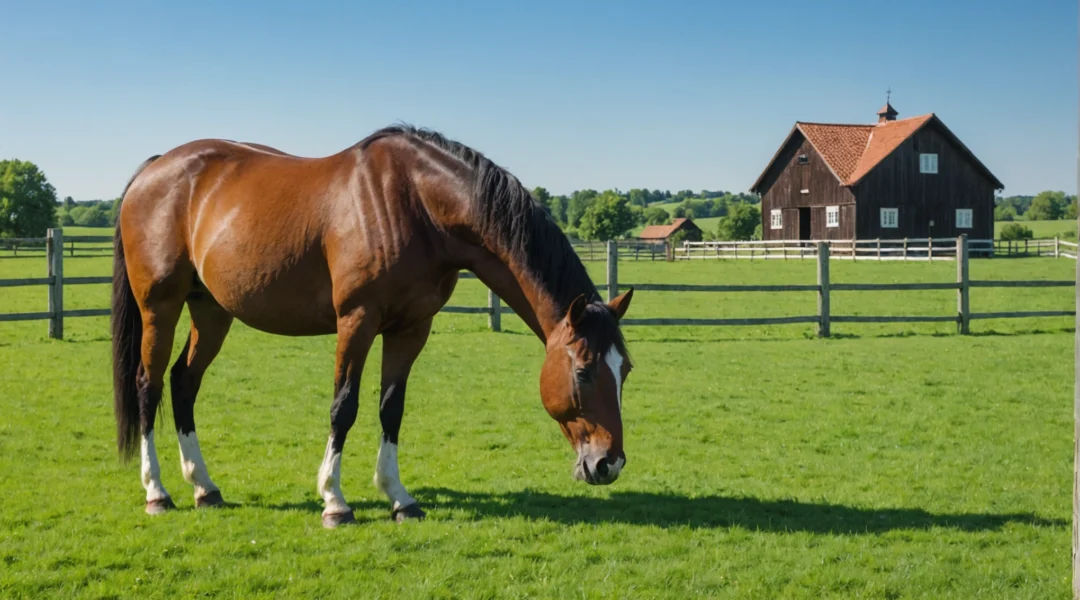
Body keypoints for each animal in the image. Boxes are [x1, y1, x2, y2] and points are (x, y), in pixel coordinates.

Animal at [111, 125, 635, 527]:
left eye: (624, 370)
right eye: (584, 371)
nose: (609, 463)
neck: (417, 204)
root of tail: (155, 169)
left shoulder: (410, 328)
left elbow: (391, 409)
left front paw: (399, 497)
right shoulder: (357, 321)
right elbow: (344, 406)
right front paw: (334, 501)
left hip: (212, 312)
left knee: (184, 382)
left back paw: (205, 487)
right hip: (160, 307)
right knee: (149, 385)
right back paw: (157, 492)